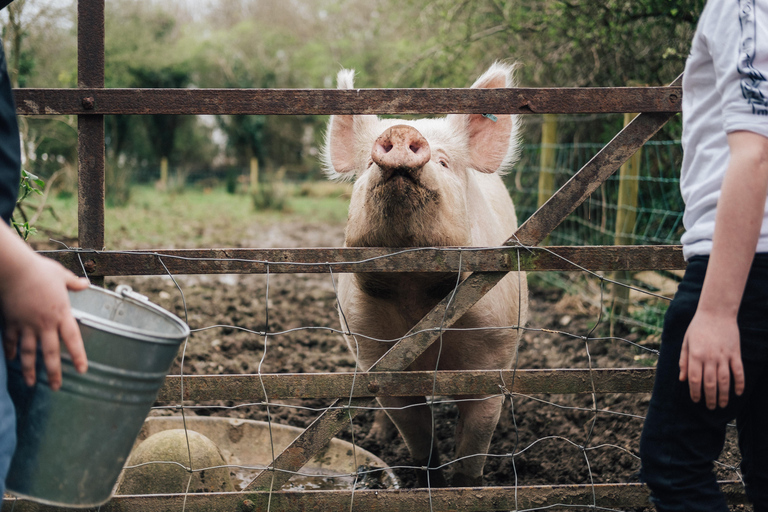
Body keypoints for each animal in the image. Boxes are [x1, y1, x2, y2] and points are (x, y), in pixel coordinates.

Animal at [322, 62, 528, 486]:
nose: (401, 132)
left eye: (445, 162)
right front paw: (425, 479)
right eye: (368, 165)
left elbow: (474, 441)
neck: (415, 293)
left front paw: (465, 486)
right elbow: (415, 428)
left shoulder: (492, 352)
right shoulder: (375, 352)